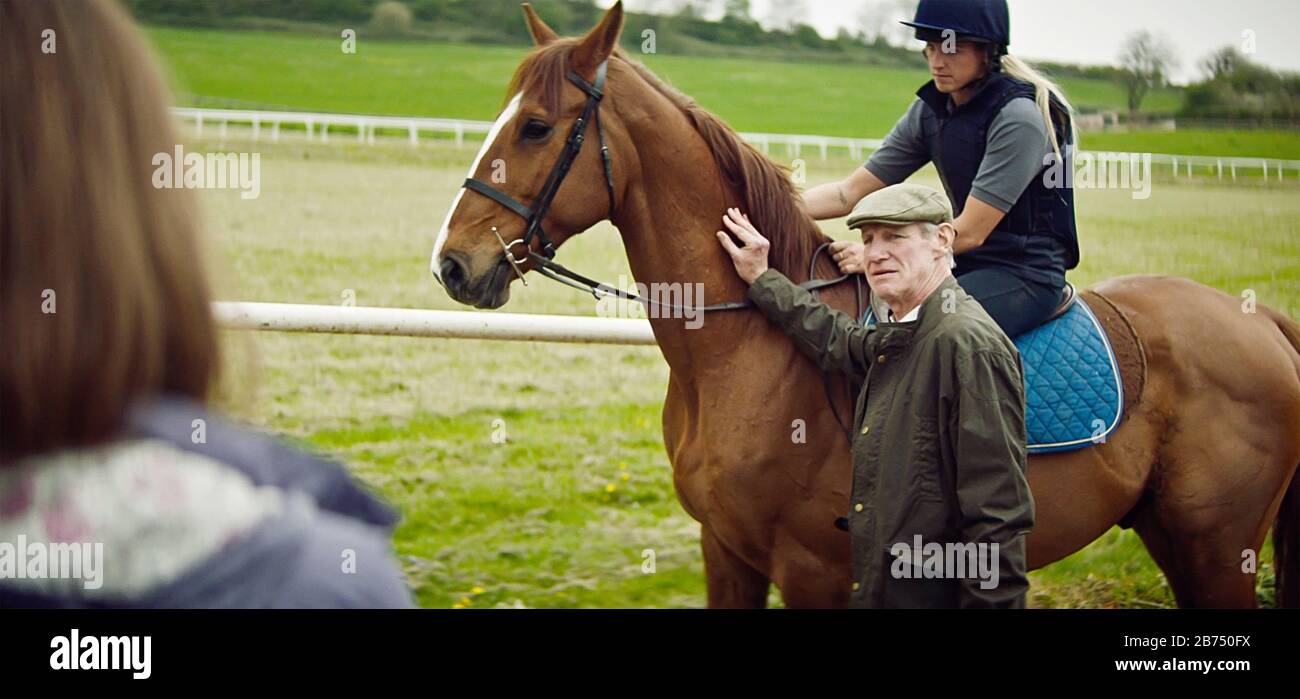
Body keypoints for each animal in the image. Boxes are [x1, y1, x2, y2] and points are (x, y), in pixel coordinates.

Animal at [431, 1, 1300, 608]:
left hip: (1216, 549)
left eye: (537, 127)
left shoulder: (813, 571)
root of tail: (1260, 321)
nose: (453, 264)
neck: (744, 352)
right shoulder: (727, 551)